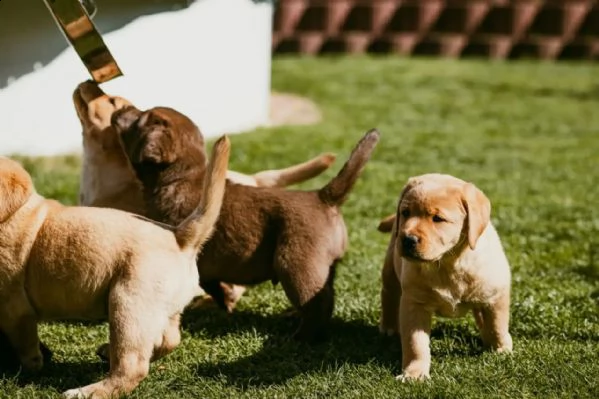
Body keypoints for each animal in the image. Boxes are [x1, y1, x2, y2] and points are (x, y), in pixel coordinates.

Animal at [0, 136, 230, 398]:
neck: (13, 213)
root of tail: (179, 237)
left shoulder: (14, 308)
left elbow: (25, 344)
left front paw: (29, 366)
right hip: (159, 309)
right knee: (169, 338)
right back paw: (108, 352)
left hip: (127, 304)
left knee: (131, 367)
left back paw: (86, 391)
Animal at [113, 106, 380, 344]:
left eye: (139, 118)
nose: (121, 108)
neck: (182, 177)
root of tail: (323, 196)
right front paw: (226, 302)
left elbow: (209, 282)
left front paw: (225, 301)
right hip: (323, 267)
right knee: (327, 296)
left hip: (296, 264)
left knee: (318, 304)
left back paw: (300, 338)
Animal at [380, 174, 510, 382]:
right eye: (405, 212)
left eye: (438, 219)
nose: (407, 239)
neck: (447, 263)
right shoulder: (414, 304)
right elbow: (415, 344)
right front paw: (414, 373)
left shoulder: (495, 295)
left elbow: (497, 325)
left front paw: (501, 349)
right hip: (391, 269)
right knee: (389, 295)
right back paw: (389, 326)